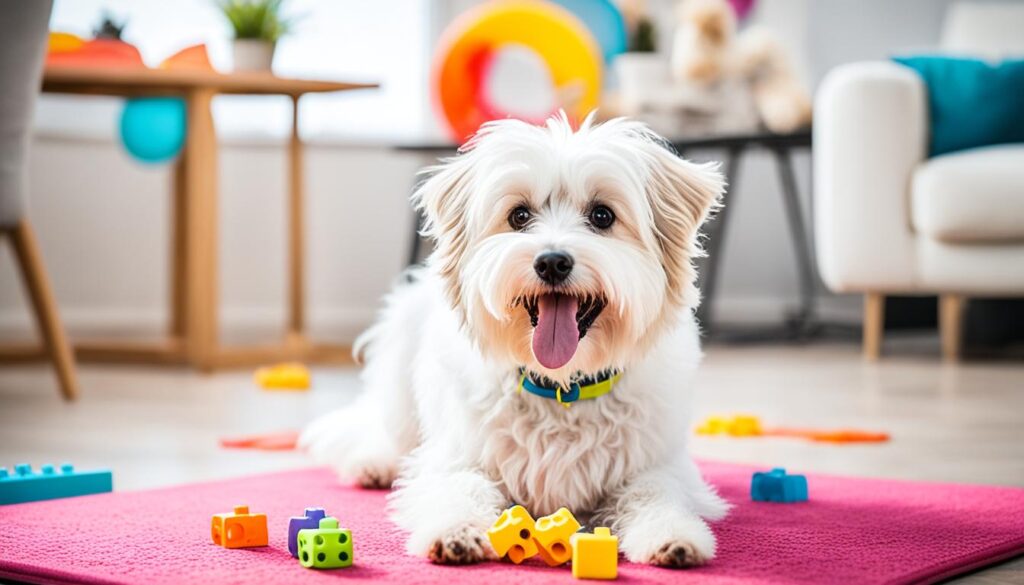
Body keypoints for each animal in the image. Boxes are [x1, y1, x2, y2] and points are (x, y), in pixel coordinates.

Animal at [301, 113, 729, 569]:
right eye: (519, 215)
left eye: (602, 215)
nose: (552, 261)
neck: (562, 385)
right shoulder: (457, 457)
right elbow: (459, 488)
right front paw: (457, 530)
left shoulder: (658, 464)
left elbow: (657, 495)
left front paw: (675, 536)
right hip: (400, 357)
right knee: (385, 428)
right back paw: (373, 463)